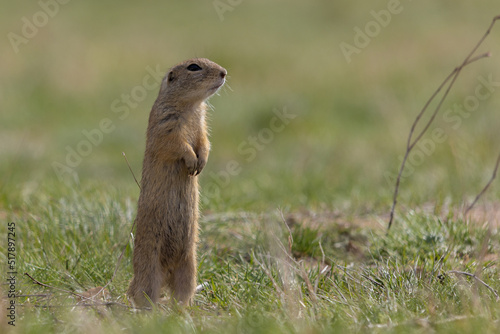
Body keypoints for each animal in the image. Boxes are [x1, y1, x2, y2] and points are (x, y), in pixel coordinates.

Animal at [127, 58, 227, 308]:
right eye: (194, 67)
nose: (224, 72)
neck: (191, 106)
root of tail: (167, 272)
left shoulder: (202, 126)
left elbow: (205, 142)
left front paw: (201, 163)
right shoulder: (166, 123)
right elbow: (176, 143)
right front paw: (191, 162)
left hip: (189, 268)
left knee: (182, 292)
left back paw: (182, 308)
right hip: (149, 268)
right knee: (143, 292)